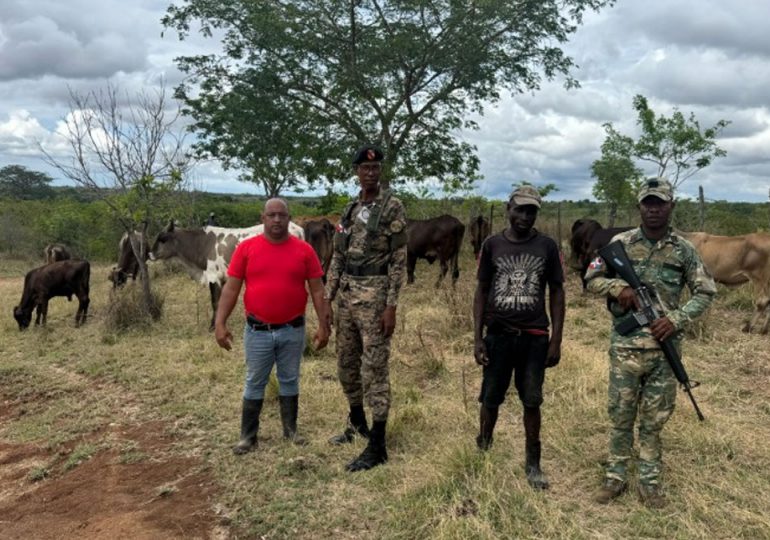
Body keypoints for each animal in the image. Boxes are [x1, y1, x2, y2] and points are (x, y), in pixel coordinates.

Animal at [149, 220, 305, 329]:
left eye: (163, 239)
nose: (149, 254)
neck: (201, 243)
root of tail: (297, 227)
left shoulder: (213, 276)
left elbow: (215, 302)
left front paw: (212, 326)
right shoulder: (223, 278)